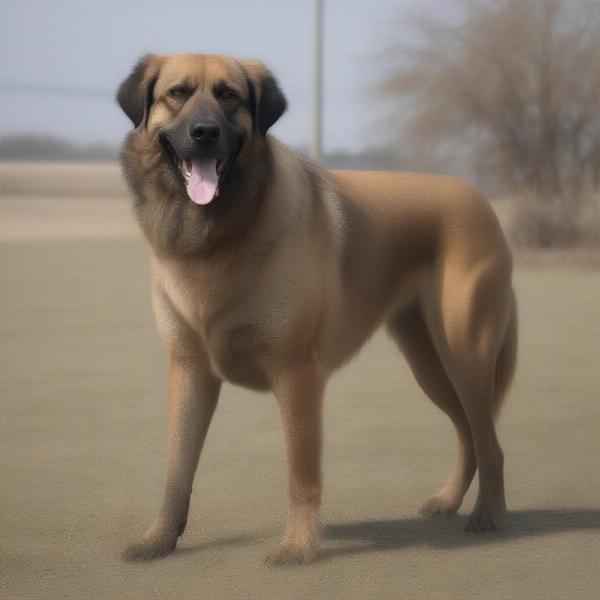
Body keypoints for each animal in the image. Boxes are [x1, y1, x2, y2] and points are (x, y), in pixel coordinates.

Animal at [116, 54, 516, 564]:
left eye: (229, 95)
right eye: (177, 93)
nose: (205, 132)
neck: (218, 233)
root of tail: (481, 201)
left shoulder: (296, 373)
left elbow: (300, 470)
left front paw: (298, 548)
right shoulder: (189, 370)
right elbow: (177, 466)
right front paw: (159, 540)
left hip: (465, 355)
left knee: (489, 442)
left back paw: (489, 516)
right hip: (428, 361)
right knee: (468, 435)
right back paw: (449, 501)